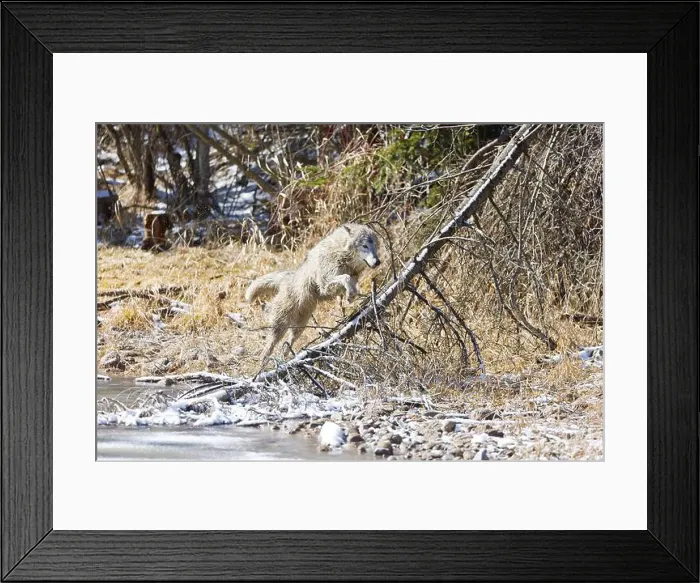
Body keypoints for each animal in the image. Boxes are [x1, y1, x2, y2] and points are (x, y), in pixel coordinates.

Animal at [245, 223, 381, 362]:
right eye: (365, 246)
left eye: (375, 245)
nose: (377, 262)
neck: (341, 254)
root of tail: (288, 277)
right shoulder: (324, 284)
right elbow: (345, 278)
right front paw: (351, 294)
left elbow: (350, 285)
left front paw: (350, 296)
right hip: (281, 325)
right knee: (267, 348)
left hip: (299, 328)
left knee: (286, 346)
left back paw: (286, 361)